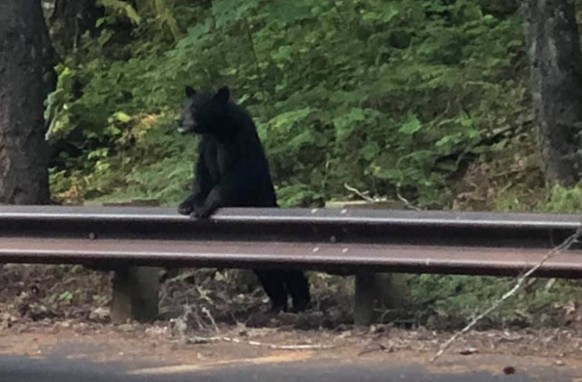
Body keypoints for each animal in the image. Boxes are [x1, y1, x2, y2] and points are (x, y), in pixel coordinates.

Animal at [178, 85, 312, 312]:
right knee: (266, 272)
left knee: (289, 269)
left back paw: (301, 302)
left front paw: (204, 207)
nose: (179, 120)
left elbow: (237, 175)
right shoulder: (206, 145)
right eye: (184, 105)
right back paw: (277, 304)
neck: (218, 130)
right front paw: (187, 204)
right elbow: (203, 174)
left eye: (195, 107)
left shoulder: (240, 139)